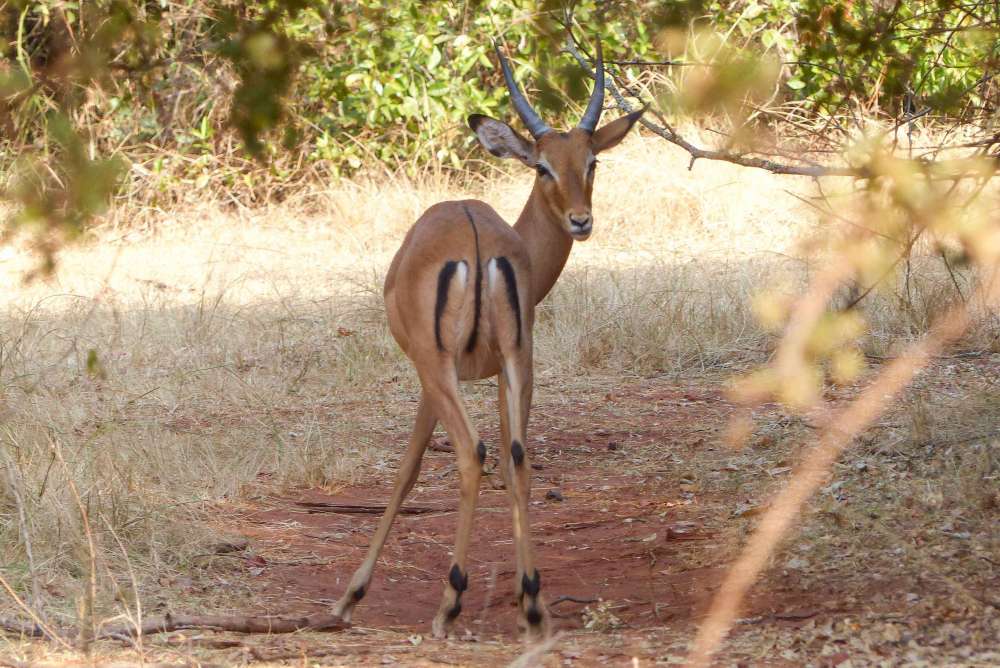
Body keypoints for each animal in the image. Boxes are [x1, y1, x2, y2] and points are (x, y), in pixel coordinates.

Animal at [332, 39, 644, 640]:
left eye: (591, 162)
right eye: (545, 165)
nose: (581, 220)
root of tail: (476, 240)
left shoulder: (430, 377)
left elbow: (407, 469)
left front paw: (349, 597)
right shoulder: (504, 371)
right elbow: (510, 458)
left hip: (440, 369)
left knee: (471, 453)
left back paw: (449, 604)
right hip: (521, 361)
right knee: (517, 457)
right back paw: (532, 604)